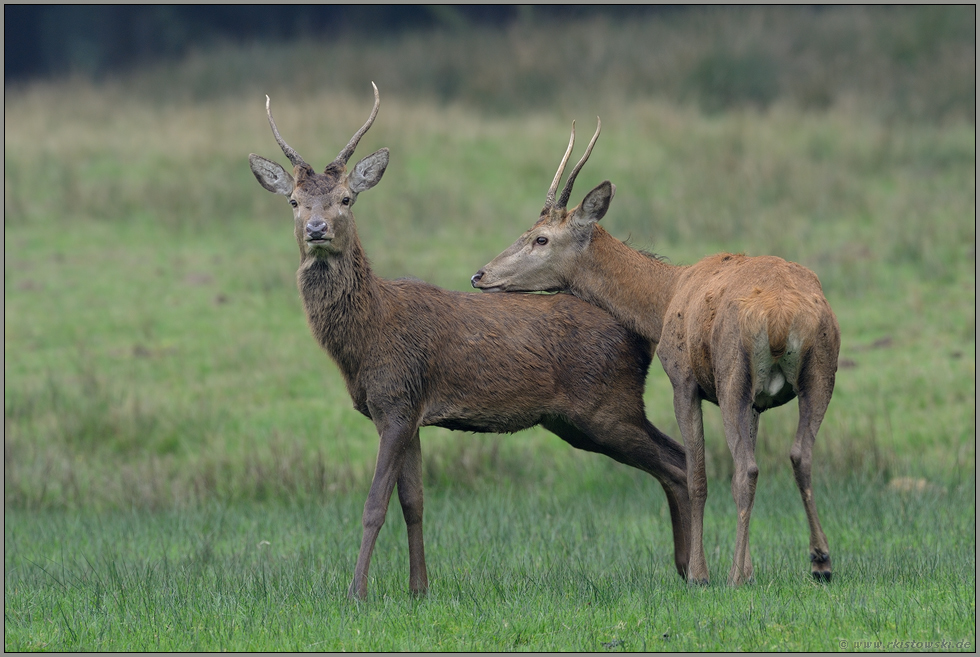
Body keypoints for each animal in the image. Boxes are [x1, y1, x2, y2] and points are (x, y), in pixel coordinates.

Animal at [249, 87, 692, 600]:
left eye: (345, 198)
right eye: (294, 202)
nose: (317, 229)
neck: (365, 340)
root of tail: (639, 336)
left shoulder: (396, 400)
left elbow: (374, 505)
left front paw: (356, 591)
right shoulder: (406, 411)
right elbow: (414, 502)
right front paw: (419, 589)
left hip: (606, 405)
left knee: (679, 461)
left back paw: (696, 569)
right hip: (579, 419)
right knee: (675, 465)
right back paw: (685, 568)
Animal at [470, 118, 840, 584]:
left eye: (541, 238)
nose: (480, 275)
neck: (663, 299)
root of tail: (781, 317)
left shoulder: (683, 378)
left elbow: (698, 475)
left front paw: (702, 573)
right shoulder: (757, 401)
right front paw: (751, 568)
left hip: (733, 371)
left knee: (745, 469)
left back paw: (734, 576)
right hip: (822, 370)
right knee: (800, 455)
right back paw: (820, 561)